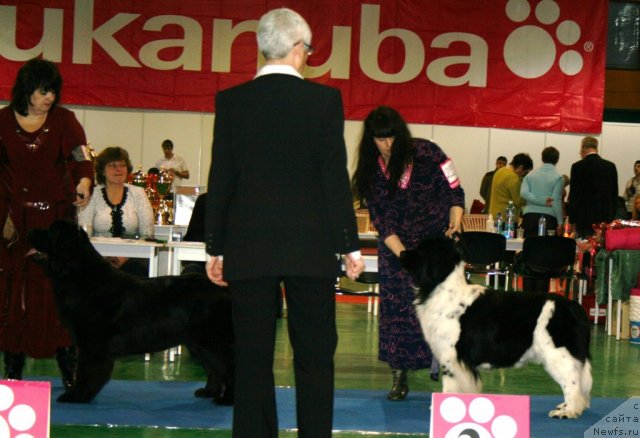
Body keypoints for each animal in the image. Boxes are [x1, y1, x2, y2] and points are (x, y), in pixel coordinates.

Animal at [26, 221, 235, 406]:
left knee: (227, 367)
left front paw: (76, 396)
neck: (78, 274)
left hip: (214, 340)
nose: (30, 230)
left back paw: (226, 400)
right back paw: (209, 392)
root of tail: (223, 289)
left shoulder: (92, 343)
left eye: (49, 231)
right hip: (200, 343)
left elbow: (87, 373)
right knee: (213, 368)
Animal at [400, 236, 592, 418]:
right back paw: (566, 407)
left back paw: (568, 411)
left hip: (558, 354)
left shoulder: (451, 356)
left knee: (572, 382)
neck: (442, 287)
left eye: (420, 251)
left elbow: (449, 385)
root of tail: (574, 307)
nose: (401, 253)